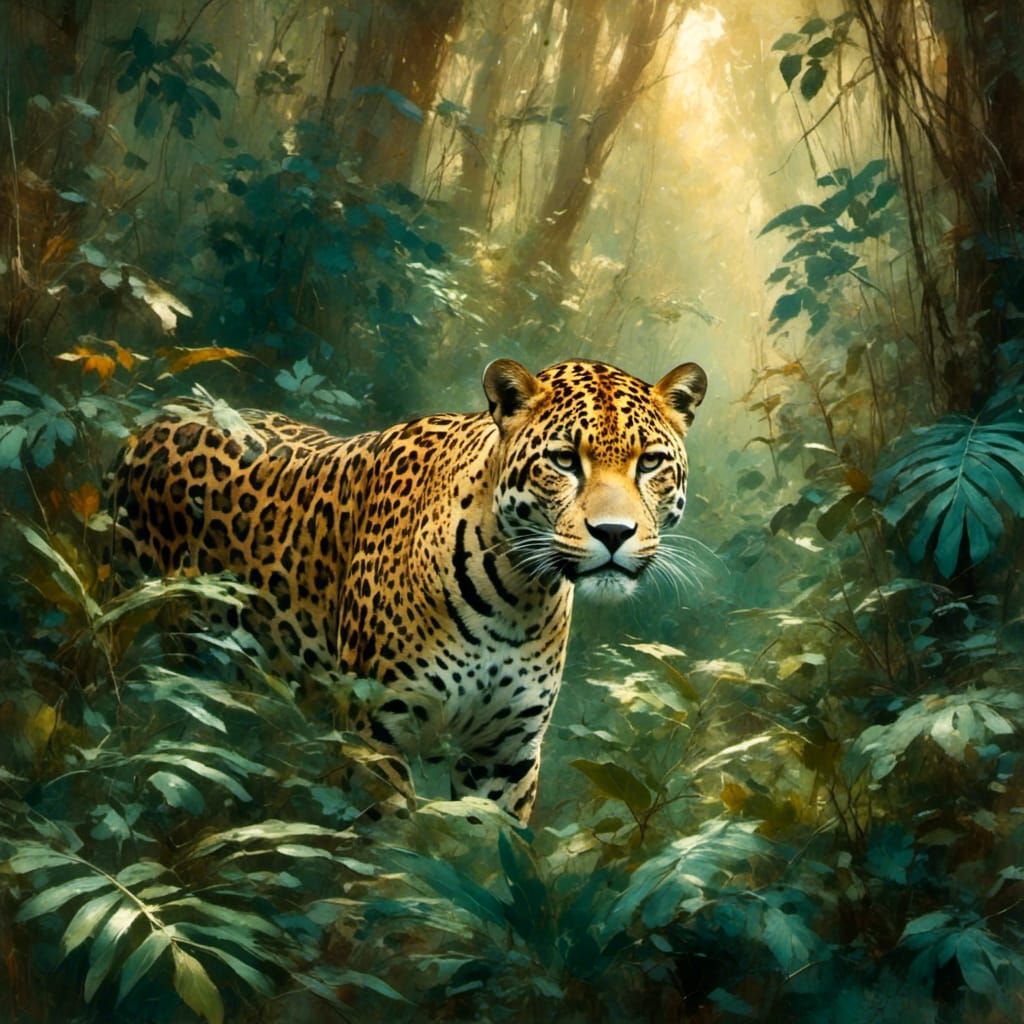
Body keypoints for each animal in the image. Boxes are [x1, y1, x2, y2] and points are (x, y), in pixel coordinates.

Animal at [110, 357, 707, 822]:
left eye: (650, 462)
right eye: (564, 460)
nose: (614, 533)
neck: (516, 595)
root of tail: (159, 416)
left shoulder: (506, 757)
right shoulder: (375, 733)